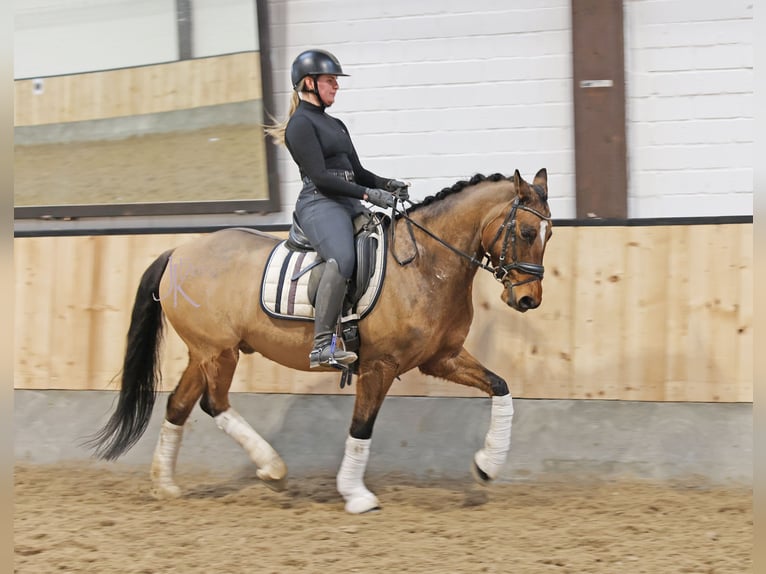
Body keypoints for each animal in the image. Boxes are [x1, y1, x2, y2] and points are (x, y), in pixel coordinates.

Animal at [90, 169, 556, 516]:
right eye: (526, 231)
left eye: (548, 234)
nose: (528, 300)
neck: (424, 264)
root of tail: (180, 252)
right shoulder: (379, 366)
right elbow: (362, 426)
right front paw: (356, 495)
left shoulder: (442, 358)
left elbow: (500, 387)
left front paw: (487, 466)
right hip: (218, 351)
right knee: (213, 403)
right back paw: (272, 469)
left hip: (203, 352)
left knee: (179, 405)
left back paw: (166, 486)